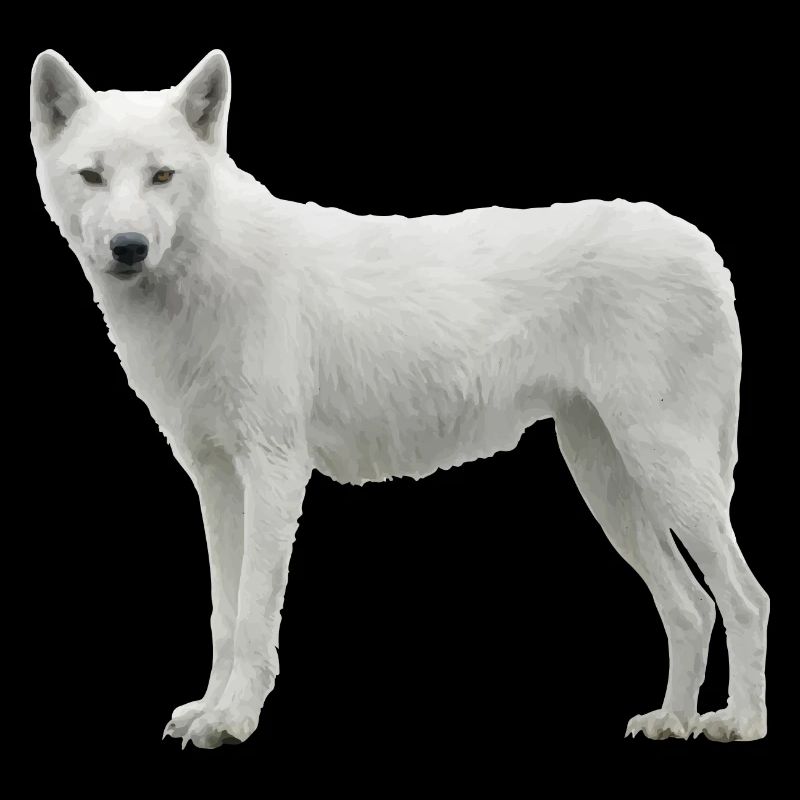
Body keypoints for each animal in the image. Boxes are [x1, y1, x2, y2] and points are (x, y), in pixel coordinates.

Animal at [30, 49, 769, 748]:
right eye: (92, 176)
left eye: (162, 176)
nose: (129, 247)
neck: (206, 276)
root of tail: (700, 245)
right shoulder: (214, 479)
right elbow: (224, 613)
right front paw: (209, 711)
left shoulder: (274, 471)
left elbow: (253, 612)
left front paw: (233, 720)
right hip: (609, 482)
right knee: (691, 607)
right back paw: (672, 720)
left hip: (665, 472)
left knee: (745, 599)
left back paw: (739, 722)